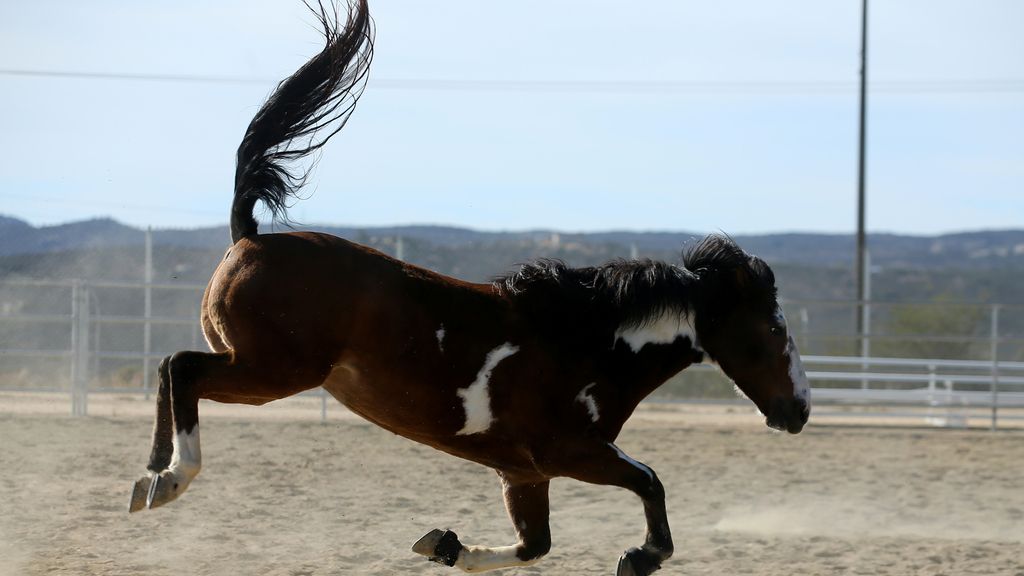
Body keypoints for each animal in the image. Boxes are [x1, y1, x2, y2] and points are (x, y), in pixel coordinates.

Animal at [128, 2, 811, 569]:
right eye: (772, 328)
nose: (799, 410)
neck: (587, 342)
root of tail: (251, 237)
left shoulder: (524, 473)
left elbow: (534, 545)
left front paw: (444, 544)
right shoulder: (571, 453)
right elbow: (648, 481)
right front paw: (641, 556)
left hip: (266, 368)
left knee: (170, 368)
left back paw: (149, 476)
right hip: (273, 370)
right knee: (181, 368)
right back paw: (169, 479)